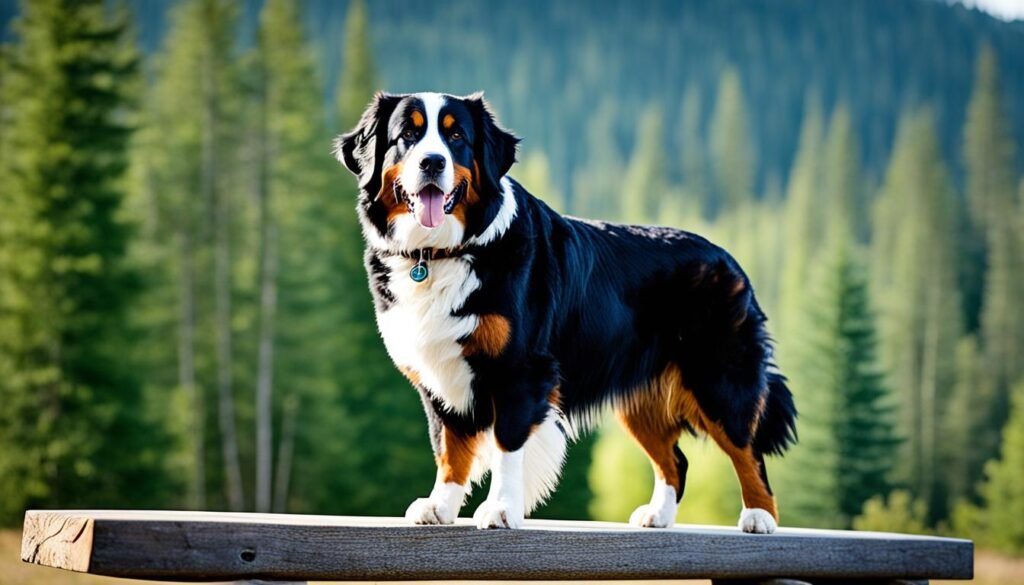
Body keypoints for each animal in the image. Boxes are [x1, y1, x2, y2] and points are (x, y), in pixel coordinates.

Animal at [331, 91, 794, 536]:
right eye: (407, 135)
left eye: (456, 136)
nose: (432, 161)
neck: (439, 252)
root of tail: (730, 261)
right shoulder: (438, 373)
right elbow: (448, 447)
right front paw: (440, 506)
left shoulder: (520, 370)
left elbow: (506, 444)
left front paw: (500, 509)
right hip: (642, 399)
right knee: (674, 460)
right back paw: (658, 515)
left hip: (720, 380)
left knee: (747, 449)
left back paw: (760, 516)